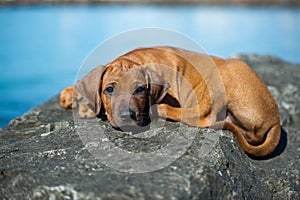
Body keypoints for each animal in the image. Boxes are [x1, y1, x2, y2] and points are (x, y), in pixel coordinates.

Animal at [60, 47, 282, 158]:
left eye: (140, 90)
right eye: (109, 89)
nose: (126, 117)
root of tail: (276, 120)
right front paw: (76, 98)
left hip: (224, 74)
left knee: (203, 116)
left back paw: (160, 109)